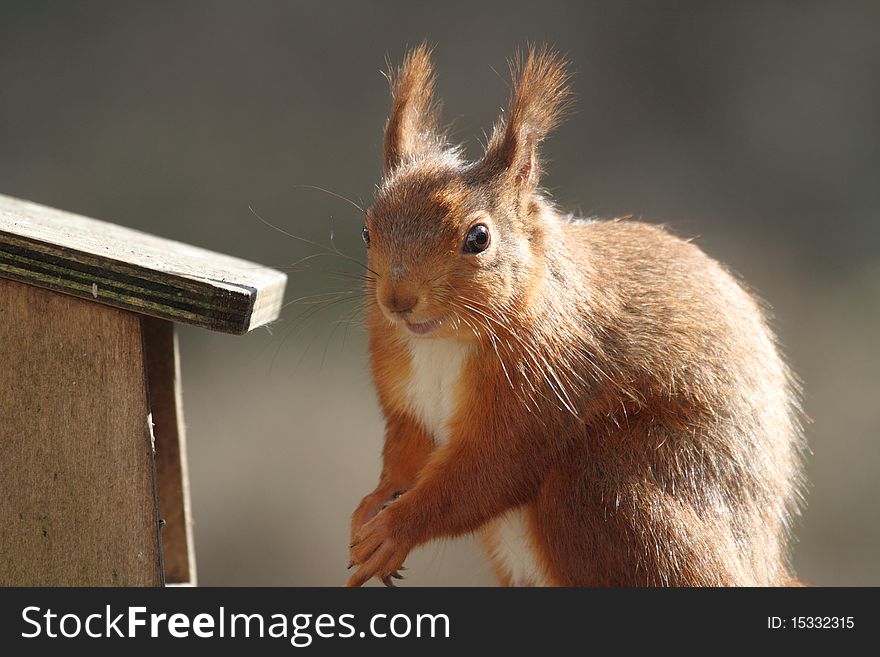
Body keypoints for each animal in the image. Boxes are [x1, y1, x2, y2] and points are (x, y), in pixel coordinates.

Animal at [348, 47, 808, 588]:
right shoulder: (407, 401)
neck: (443, 343)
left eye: (479, 237)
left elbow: (485, 475)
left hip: (615, 487)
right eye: (366, 231)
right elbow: (405, 455)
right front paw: (372, 506)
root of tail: (759, 558)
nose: (398, 300)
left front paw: (395, 529)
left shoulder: (546, 386)